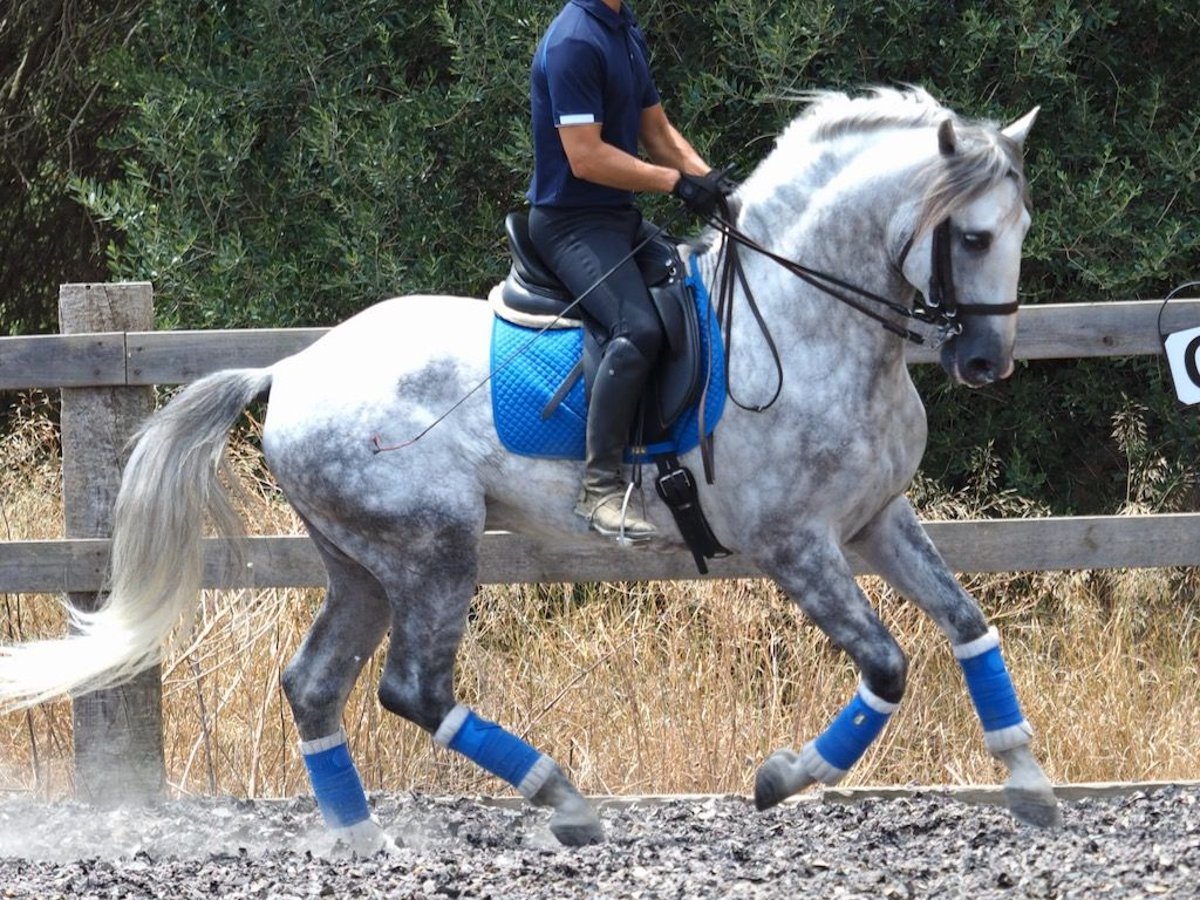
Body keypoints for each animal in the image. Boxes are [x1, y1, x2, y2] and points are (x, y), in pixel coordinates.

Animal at [0, 88, 1060, 849]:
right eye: (971, 236)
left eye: (1019, 232)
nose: (986, 363)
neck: (812, 327)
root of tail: (292, 367)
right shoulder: (795, 546)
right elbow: (887, 665)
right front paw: (782, 778)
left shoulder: (878, 519)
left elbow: (968, 624)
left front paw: (1028, 781)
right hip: (433, 548)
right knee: (411, 691)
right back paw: (564, 801)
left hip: (362, 563)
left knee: (312, 684)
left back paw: (363, 840)